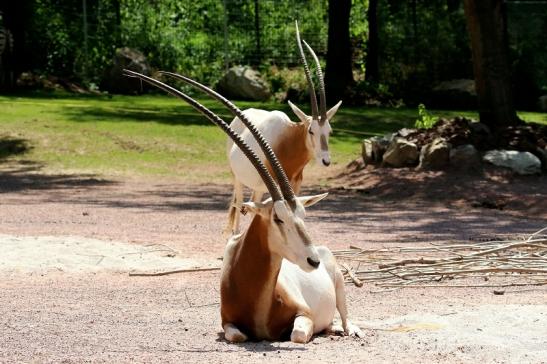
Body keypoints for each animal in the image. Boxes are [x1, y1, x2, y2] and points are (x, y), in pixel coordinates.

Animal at [125, 69, 364, 344]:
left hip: (339, 283)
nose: (312, 261)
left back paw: (348, 329)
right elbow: (237, 336)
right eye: (278, 218)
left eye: (303, 215)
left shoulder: (305, 314)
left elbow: (296, 335)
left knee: (344, 316)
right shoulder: (226, 322)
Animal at [224, 22, 342, 233]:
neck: (289, 142)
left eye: (329, 131)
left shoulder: (294, 187)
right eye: (311, 130)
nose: (326, 161)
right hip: (238, 178)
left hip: (258, 187)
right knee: (238, 204)